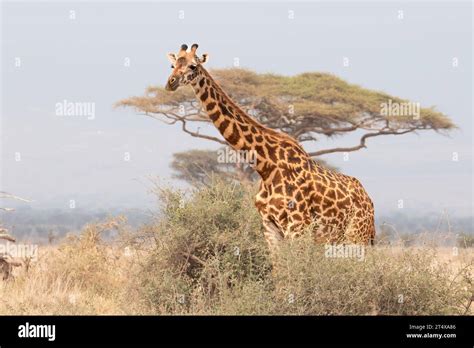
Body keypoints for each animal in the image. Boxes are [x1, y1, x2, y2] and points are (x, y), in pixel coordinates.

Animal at [165, 44, 376, 254]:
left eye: (193, 66)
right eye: (172, 65)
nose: (170, 83)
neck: (265, 166)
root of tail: (370, 203)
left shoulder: (298, 227)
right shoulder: (269, 226)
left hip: (357, 236)